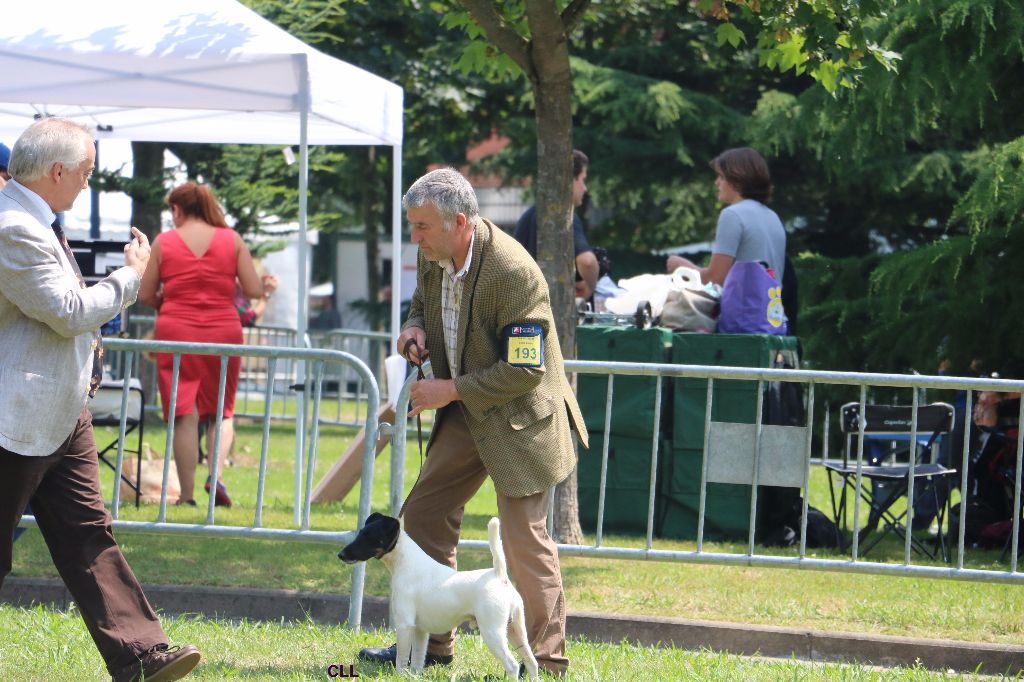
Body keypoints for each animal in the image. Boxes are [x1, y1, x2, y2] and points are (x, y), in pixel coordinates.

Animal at [339, 512, 540, 675]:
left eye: (369, 536)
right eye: (360, 533)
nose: (340, 555)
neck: (406, 562)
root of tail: (499, 575)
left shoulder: (404, 625)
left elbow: (401, 659)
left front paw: (400, 676)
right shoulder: (420, 630)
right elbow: (417, 659)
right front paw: (414, 676)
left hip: (493, 632)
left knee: (513, 666)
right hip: (516, 629)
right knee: (532, 662)